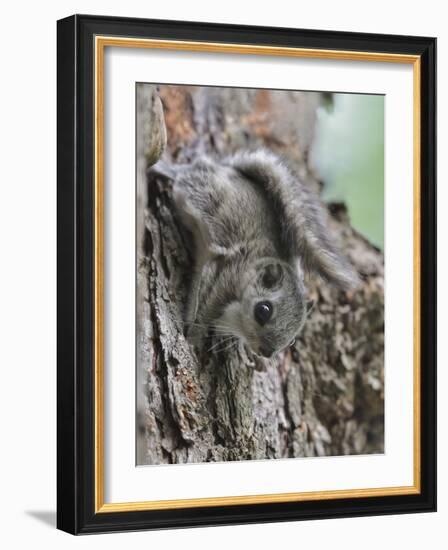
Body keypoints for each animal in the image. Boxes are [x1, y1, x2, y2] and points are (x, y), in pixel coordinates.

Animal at [152, 150, 358, 358]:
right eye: (263, 311)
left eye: (293, 338)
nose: (267, 353)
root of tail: (223, 168)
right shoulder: (225, 275)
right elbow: (203, 306)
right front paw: (193, 338)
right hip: (201, 192)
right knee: (185, 174)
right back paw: (165, 169)